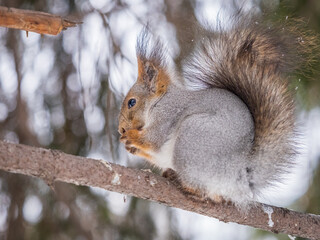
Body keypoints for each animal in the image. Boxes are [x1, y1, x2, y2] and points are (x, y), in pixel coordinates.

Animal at [118, 13, 316, 208]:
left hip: (192, 138)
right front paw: (130, 146)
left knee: (199, 188)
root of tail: (240, 176)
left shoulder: (167, 115)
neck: (158, 102)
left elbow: (154, 140)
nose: (120, 128)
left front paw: (130, 137)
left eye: (131, 102)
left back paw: (181, 181)